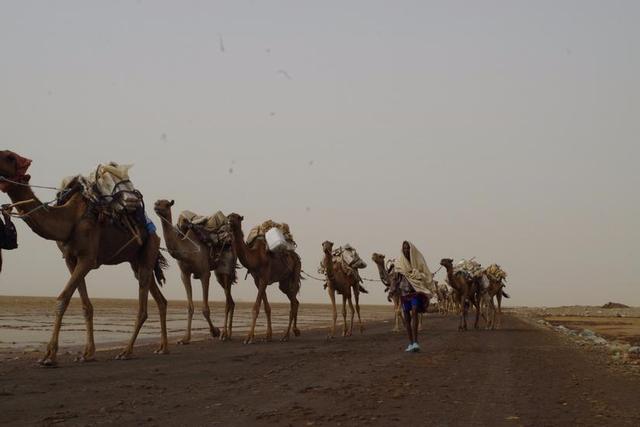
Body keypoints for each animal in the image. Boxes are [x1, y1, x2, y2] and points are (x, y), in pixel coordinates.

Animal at [0, 151, 169, 368]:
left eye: (9, 157)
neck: (70, 218)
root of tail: (153, 231)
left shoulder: (88, 259)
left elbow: (62, 299)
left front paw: (49, 355)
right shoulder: (71, 260)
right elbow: (86, 306)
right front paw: (87, 353)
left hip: (149, 250)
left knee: (143, 308)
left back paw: (126, 351)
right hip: (135, 262)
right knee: (160, 299)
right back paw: (163, 347)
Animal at [153, 201, 238, 344]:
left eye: (166, 204)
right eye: (157, 202)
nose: (156, 206)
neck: (188, 249)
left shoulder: (205, 273)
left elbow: (205, 309)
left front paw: (215, 332)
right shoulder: (184, 274)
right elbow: (190, 307)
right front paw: (185, 339)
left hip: (227, 270)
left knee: (228, 301)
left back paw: (225, 334)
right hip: (219, 275)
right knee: (230, 301)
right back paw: (229, 333)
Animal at [228, 214, 302, 344]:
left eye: (236, 217)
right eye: (228, 216)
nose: (229, 221)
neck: (256, 257)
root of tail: (296, 257)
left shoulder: (264, 278)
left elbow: (256, 307)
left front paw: (248, 338)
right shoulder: (257, 281)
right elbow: (267, 307)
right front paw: (268, 336)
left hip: (295, 273)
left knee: (293, 304)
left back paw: (286, 336)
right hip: (284, 283)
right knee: (295, 301)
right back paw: (295, 331)